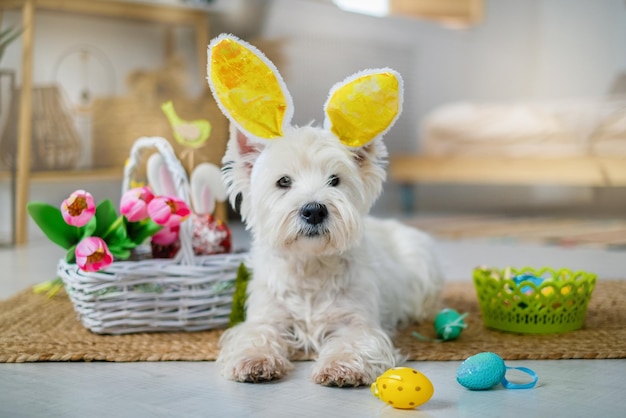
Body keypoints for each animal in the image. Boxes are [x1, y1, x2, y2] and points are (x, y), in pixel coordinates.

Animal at [207, 34, 442, 386]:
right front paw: (254, 361)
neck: (310, 267)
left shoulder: (357, 321)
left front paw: (341, 367)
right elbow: (255, 334)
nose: (314, 211)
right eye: (283, 181)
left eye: (335, 180)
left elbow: (354, 341)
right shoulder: (267, 316)